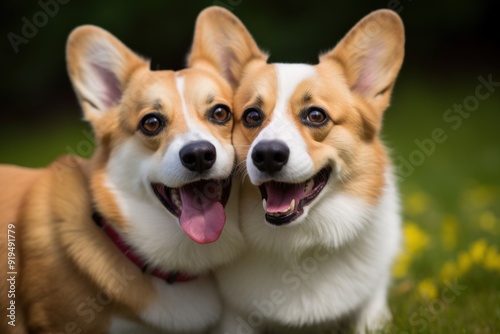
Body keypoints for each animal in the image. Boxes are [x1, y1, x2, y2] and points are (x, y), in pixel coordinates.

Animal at [193, 6, 404, 332]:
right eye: (252, 115)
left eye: (316, 115)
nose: (267, 155)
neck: (299, 244)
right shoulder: (233, 317)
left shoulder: (374, 300)